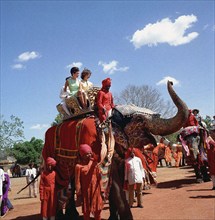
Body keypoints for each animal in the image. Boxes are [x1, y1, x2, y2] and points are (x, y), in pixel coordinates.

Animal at [41, 81, 188, 220]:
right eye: (139, 119)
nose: (171, 82)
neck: (109, 118)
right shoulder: (96, 145)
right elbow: (111, 182)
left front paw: (113, 217)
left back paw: (72, 215)